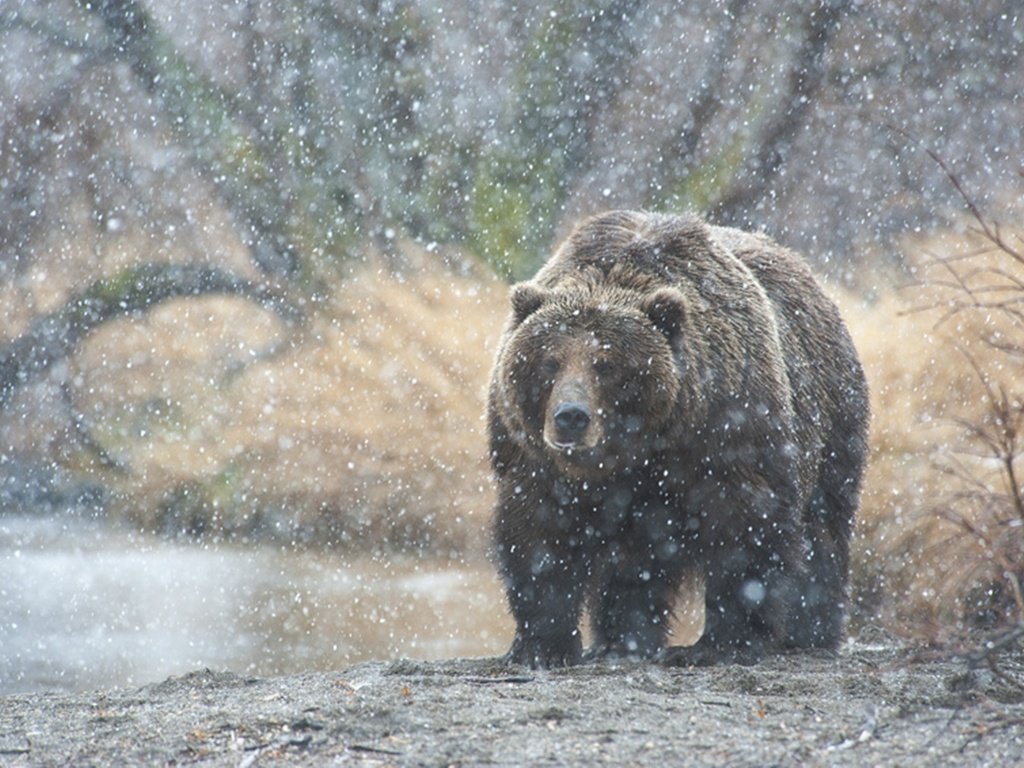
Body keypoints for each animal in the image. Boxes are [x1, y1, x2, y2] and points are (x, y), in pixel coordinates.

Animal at [483, 210, 868, 667]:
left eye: (607, 365)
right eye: (549, 362)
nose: (570, 417)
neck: (638, 448)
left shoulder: (727, 427)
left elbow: (744, 528)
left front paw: (721, 643)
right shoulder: (533, 456)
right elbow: (539, 534)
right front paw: (543, 646)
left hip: (831, 420)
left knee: (823, 528)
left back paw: (810, 632)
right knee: (636, 560)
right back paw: (620, 640)